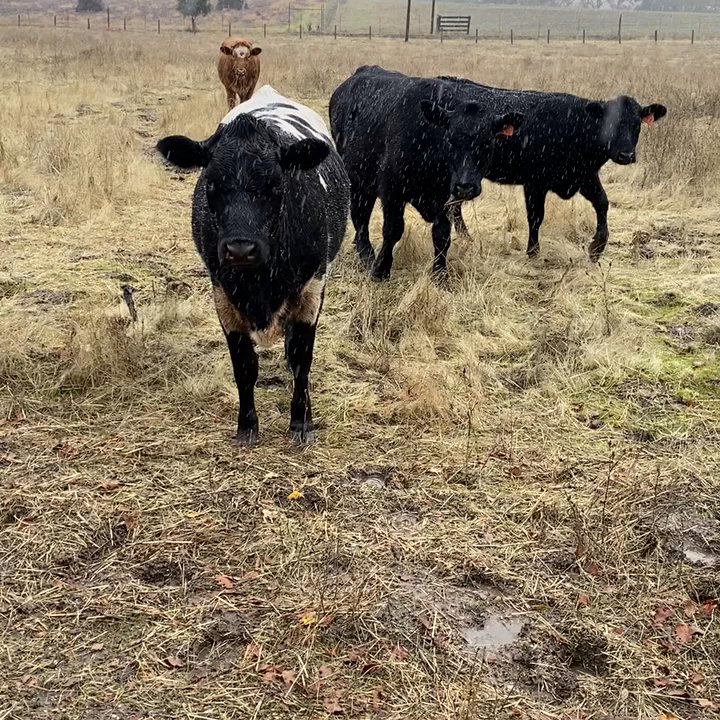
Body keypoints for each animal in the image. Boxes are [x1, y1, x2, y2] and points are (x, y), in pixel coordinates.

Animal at [156, 85, 350, 445]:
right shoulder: (223, 296)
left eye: (275, 184)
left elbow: (301, 360)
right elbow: (244, 366)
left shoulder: (312, 290)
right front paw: (246, 426)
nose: (240, 249)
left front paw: (301, 422)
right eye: (211, 184)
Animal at [329, 65, 524, 281]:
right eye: (450, 139)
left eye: (488, 143)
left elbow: (442, 234)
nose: (465, 186)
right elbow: (393, 230)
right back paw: (366, 255)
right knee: (360, 216)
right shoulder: (392, 191)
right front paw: (381, 269)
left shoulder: (445, 199)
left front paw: (440, 274)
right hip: (355, 178)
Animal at [439, 77, 667, 261]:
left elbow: (602, 203)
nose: (626, 155)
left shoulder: (584, 176)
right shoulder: (535, 183)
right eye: (610, 124)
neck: (576, 127)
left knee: (453, 206)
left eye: (637, 124)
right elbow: (536, 216)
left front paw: (597, 248)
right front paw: (533, 252)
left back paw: (466, 238)